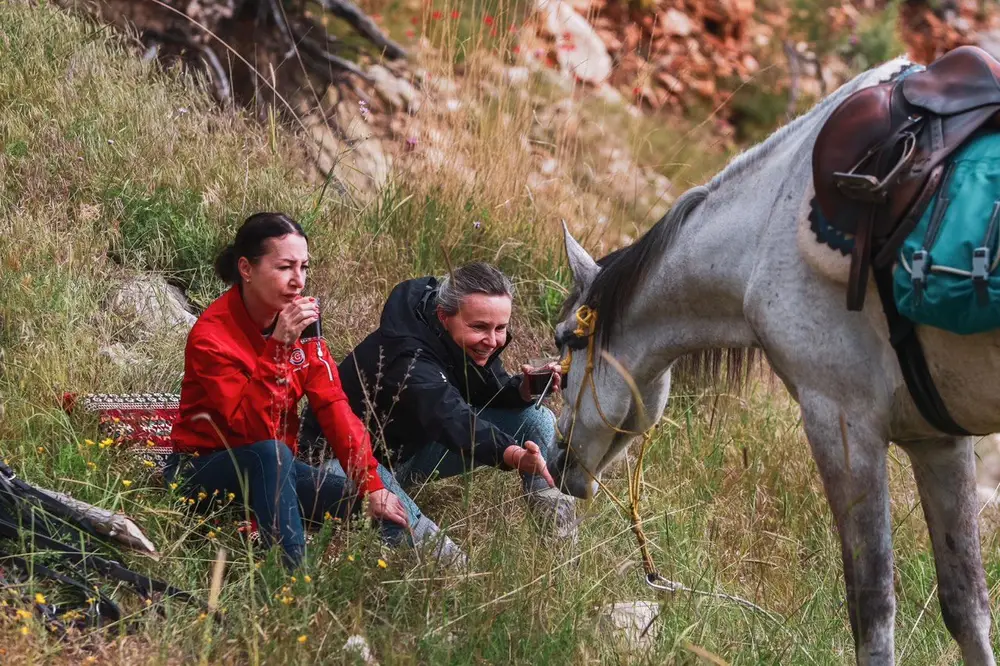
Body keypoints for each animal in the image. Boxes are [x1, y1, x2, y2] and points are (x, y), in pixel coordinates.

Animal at [548, 55, 999, 665]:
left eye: (566, 340)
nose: (556, 458)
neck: (765, 228)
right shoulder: (938, 440)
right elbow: (966, 607)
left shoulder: (842, 422)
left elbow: (873, 610)